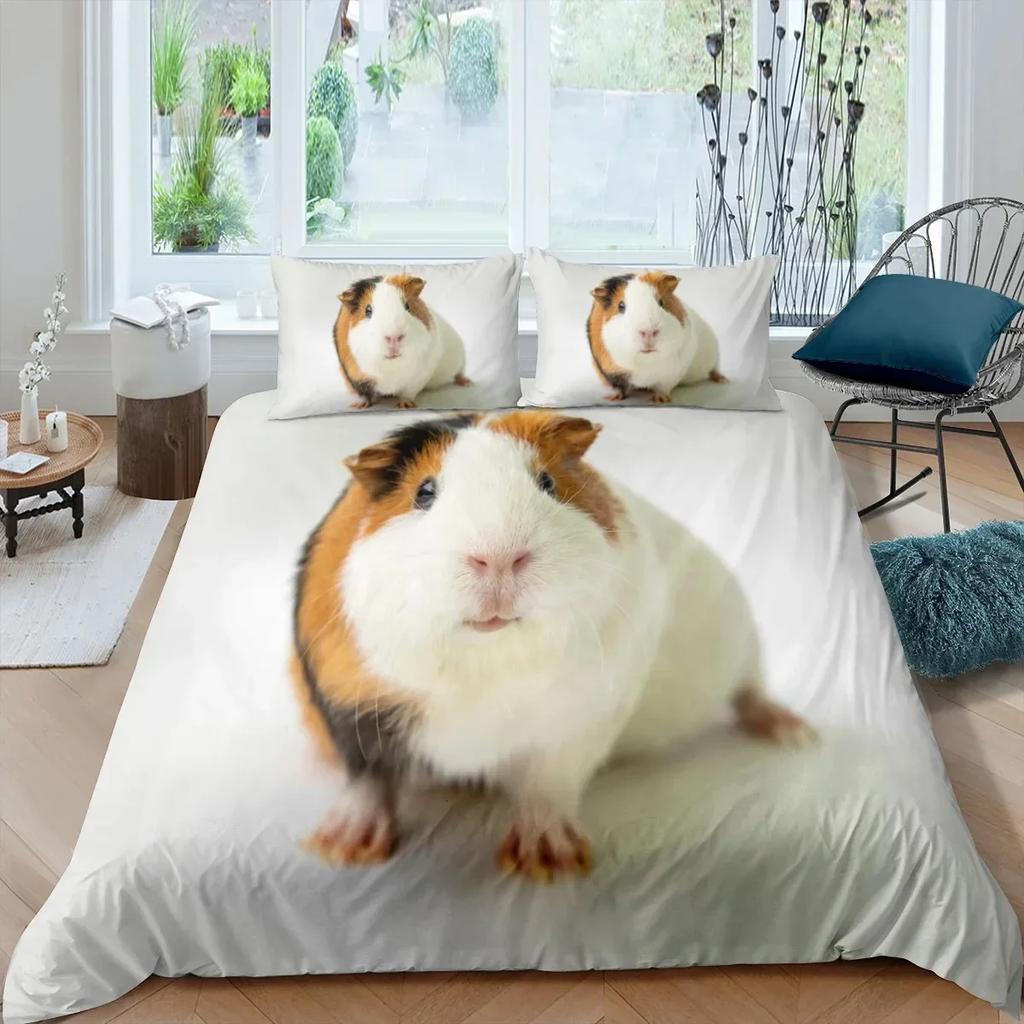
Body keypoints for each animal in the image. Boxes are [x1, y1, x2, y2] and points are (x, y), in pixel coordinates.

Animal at [292, 411, 814, 881]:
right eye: (424, 492)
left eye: (546, 482)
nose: (499, 557)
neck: (486, 663)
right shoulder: (346, 704)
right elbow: (367, 778)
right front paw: (342, 849)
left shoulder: (582, 720)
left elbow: (548, 783)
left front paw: (548, 862)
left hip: (745, 650)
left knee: (750, 693)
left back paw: (796, 734)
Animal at [333, 274, 471, 409]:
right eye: (368, 310)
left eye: (407, 306)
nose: (394, 337)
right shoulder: (354, 378)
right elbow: (364, 394)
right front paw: (359, 406)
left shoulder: (418, 377)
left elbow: (407, 394)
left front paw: (404, 406)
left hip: (461, 360)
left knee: (459, 373)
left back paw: (467, 383)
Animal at [587, 271, 727, 403]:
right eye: (621, 306)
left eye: (661, 302)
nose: (648, 332)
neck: (646, 362)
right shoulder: (610, 373)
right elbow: (618, 388)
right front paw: (612, 398)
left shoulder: (672, 373)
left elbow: (662, 388)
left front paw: (660, 400)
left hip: (715, 357)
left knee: (714, 370)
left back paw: (723, 380)